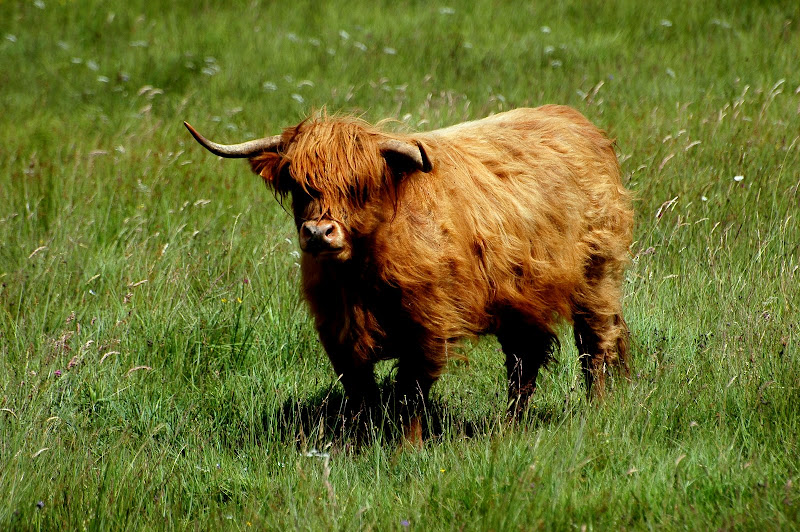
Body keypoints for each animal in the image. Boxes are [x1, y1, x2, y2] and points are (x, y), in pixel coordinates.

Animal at [184, 105, 636, 444]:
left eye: (359, 185)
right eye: (298, 185)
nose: (318, 233)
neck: (360, 276)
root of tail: (578, 123)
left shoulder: (428, 326)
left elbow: (409, 393)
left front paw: (407, 449)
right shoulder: (337, 330)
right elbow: (361, 392)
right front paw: (362, 444)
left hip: (597, 278)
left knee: (596, 345)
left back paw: (598, 411)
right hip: (521, 297)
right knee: (525, 360)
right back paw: (509, 428)